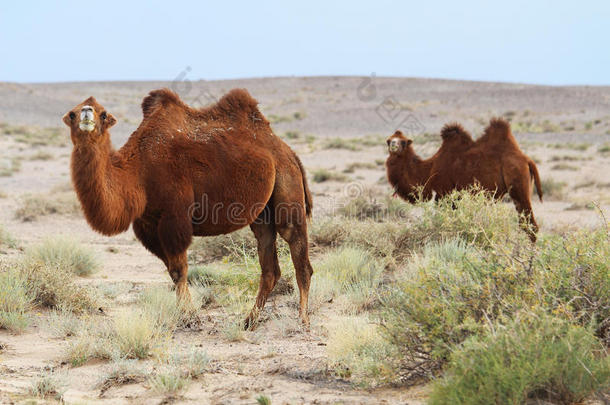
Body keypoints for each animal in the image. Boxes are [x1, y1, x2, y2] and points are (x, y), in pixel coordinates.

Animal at [63, 88, 314, 328]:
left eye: (103, 113)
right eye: (72, 114)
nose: (86, 113)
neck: (138, 173)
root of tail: (288, 151)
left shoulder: (174, 220)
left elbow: (179, 271)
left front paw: (190, 318)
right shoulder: (148, 227)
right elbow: (172, 272)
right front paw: (187, 314)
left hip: (286, 182)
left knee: (298, 251)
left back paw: (302, 319)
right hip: (262, 214)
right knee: (269, 264)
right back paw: (249, 321)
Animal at [384, 118, 540, 241]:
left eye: (404, 142)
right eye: (388, 140)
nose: (393, 146)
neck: (429, 169)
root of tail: (527, 160)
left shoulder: (444, 194)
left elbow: (446, 223)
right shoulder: (453, 197)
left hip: (518, 182)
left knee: (531, 227)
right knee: (524, 224)